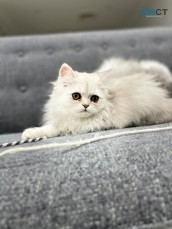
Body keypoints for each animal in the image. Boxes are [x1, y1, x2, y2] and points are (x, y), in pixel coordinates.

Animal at [21, 58, 172, 140]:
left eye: (94, 98)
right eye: (76, 96)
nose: (86, 106)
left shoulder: (85, 126)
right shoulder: (62, 123)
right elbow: (49, 129)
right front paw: (31, 134)